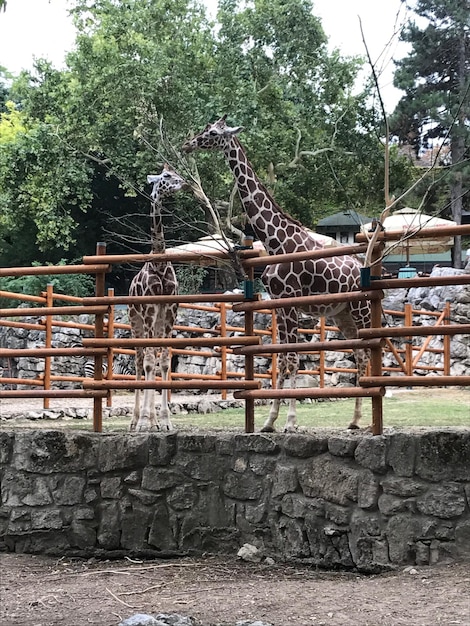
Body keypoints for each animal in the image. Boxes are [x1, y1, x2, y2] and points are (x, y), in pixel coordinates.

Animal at [184, 114, 370, 428]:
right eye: (205, 129)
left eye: (212, 133)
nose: (188, 144)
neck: (274, 242)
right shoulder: (279, 303)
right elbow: (280, 359)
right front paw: (270, 421)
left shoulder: (291, 300)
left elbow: (293, 360)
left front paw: (290, 422)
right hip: (342, 314)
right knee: (359, 352)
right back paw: (355, 419)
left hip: (361, 309)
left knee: (369, 351)